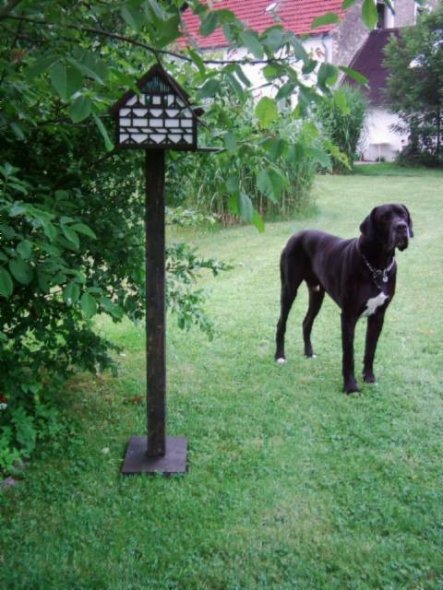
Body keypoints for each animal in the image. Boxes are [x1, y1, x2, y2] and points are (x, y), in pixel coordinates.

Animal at [276, 206, 414, 396]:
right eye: (385, 217)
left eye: (403, 215)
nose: (402, 227)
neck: (378, 265)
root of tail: (295, 235)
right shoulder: (348, 316)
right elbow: (349, 355)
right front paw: (350, 387)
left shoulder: (378, 317)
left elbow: (370, 350)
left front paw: (369, 377)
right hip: (289, 289)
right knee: (281, 322)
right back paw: (280, 356)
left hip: (317, 294)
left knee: (306, 322)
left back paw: (309, 353)